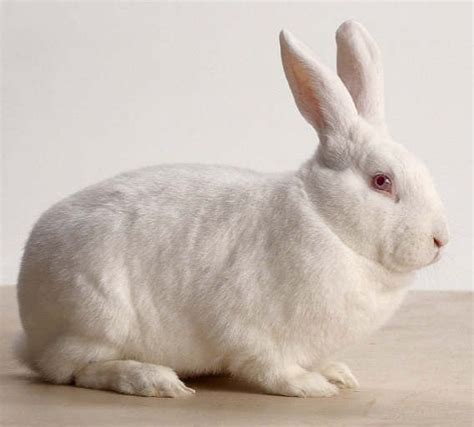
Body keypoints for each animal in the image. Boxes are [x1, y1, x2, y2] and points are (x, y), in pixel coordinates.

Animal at [16, 22, 450, 398]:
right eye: (382, 181)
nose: (440, 239)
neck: (325, 219)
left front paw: (336, 374)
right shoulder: (251, 329)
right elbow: (271, 368)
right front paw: (311, 386)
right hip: (98, 318)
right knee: (72, 370)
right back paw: (154, 380)